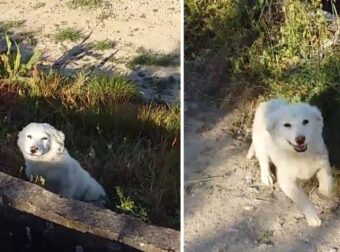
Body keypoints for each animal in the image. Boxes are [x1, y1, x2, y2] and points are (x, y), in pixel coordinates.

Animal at [247, 98, 332, 226]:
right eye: (287, 125)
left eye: (305, 121)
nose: (300, 139)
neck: (300, 155)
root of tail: (268, 102)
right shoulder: (286, 181)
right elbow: (302, 199)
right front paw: (312, 217)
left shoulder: (323, 163)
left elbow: (327, 184)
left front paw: (323, 195)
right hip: (261, 143)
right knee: (263, 159)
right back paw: (267, 176)